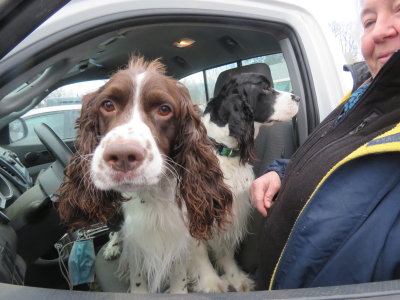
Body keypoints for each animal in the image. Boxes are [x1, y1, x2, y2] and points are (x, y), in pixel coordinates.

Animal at [191, 71, 300, 292]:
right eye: (264, 88)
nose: (298, 98)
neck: (221, 149)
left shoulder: (232, 209)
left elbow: (226, 249)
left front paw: (236, 278)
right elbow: (200, 253)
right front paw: (211, 282)